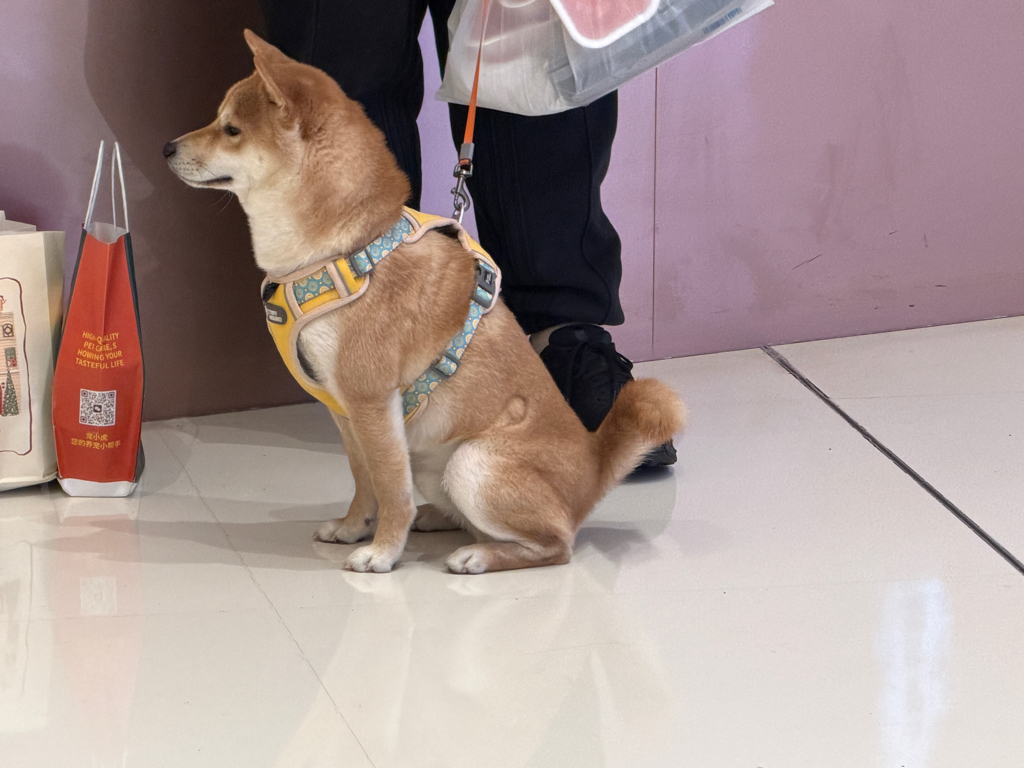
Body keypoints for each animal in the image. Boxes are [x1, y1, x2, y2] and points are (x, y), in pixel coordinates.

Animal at [165, 30, 686, 574]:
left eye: (231, 129)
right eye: (218, 120)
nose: (166, 147)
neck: (346, 252)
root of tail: (592, 466)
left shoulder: (373, 402)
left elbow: (391, 488)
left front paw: (382, 552)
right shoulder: (344, 408)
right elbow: (364, 480)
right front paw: (353, 527)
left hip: (472, 464)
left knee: (555, 545)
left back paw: (478, 554)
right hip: (437, 464)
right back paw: (440, 518)